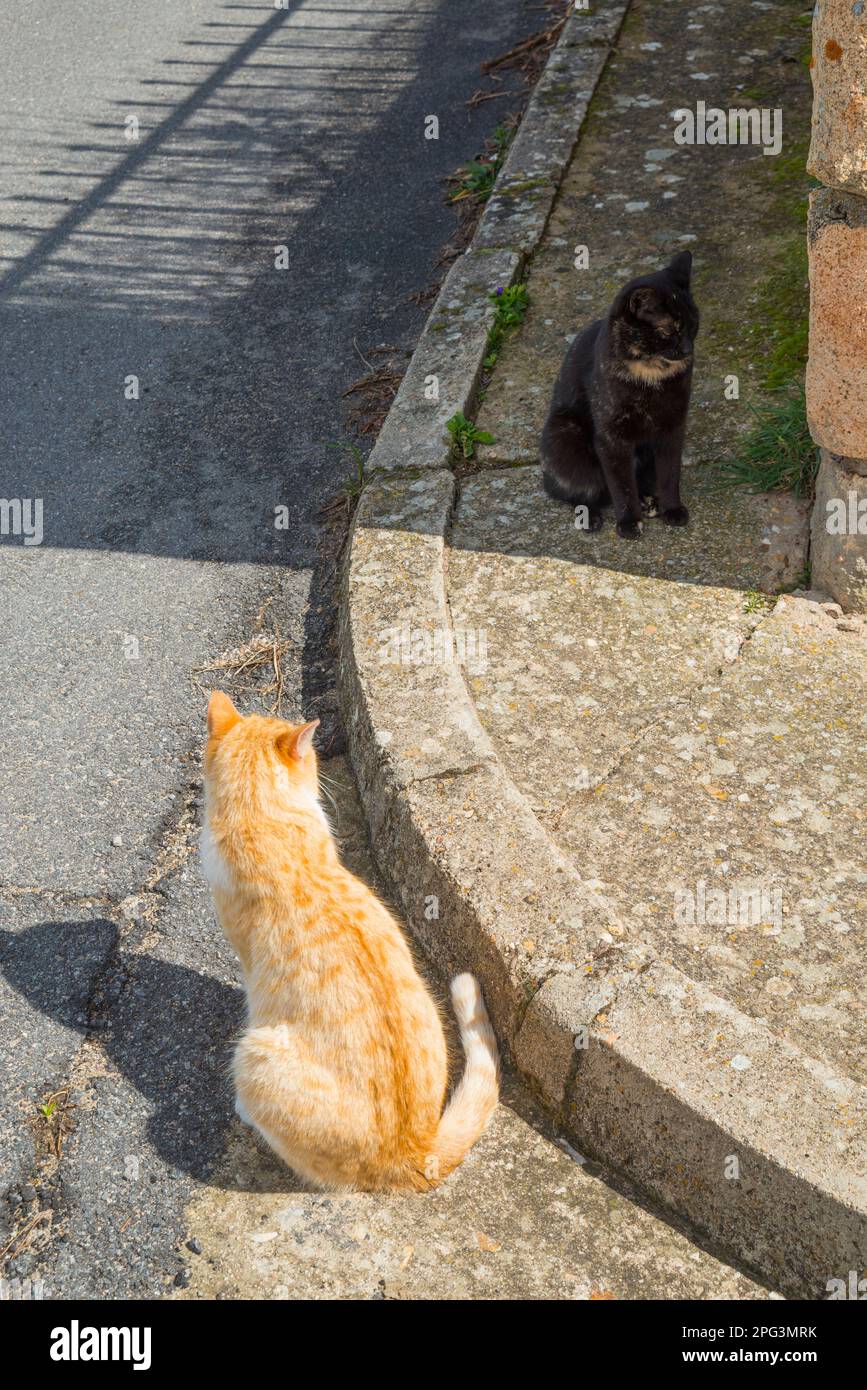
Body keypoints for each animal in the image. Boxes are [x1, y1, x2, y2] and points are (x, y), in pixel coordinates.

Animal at [541, 250, 697, 536]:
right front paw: (628, 522)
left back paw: (648, 500)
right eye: (668, 330)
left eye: (694, 326)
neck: (651, 373)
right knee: (579, 490)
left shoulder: (673, 426)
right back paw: (590, 516)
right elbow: (621, 483)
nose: (687, 349)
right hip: (564, 435)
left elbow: (669, 473)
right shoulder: (611, 437)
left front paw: (672, 509)